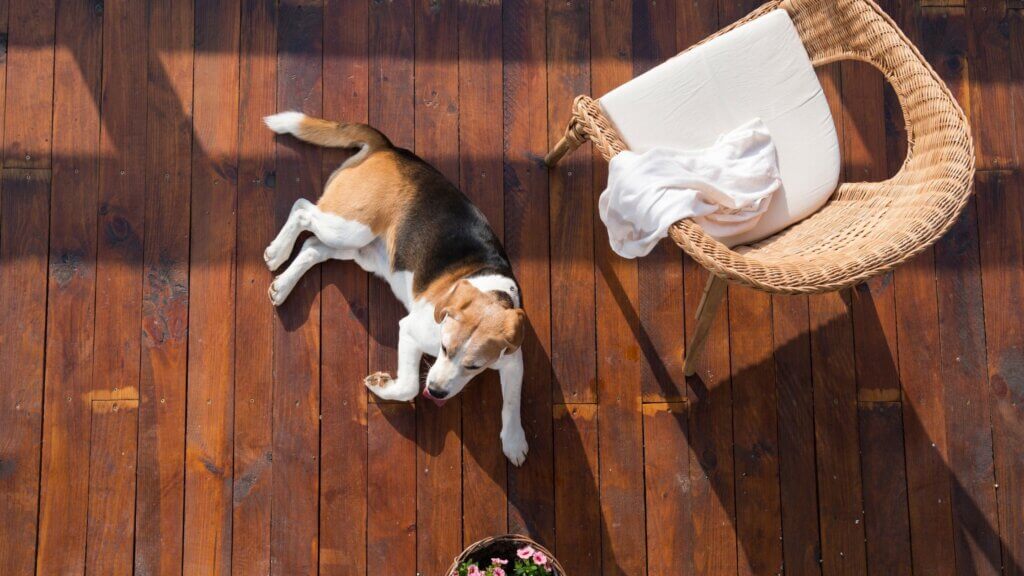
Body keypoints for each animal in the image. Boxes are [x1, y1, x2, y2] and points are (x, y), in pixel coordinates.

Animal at [260, 111, 532, 461]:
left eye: (474, 366)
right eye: (445, 348)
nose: (437, 392)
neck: (489, 290)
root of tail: (388, 148)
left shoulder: (512, 358)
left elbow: (512, 400)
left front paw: (513, 440)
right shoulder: (410, 331)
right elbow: (408, 386)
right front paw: (381, 385)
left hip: (359, 252)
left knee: (311, 248)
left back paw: (283, 286)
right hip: (349, 228)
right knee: (302, 209)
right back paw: (277, 252)